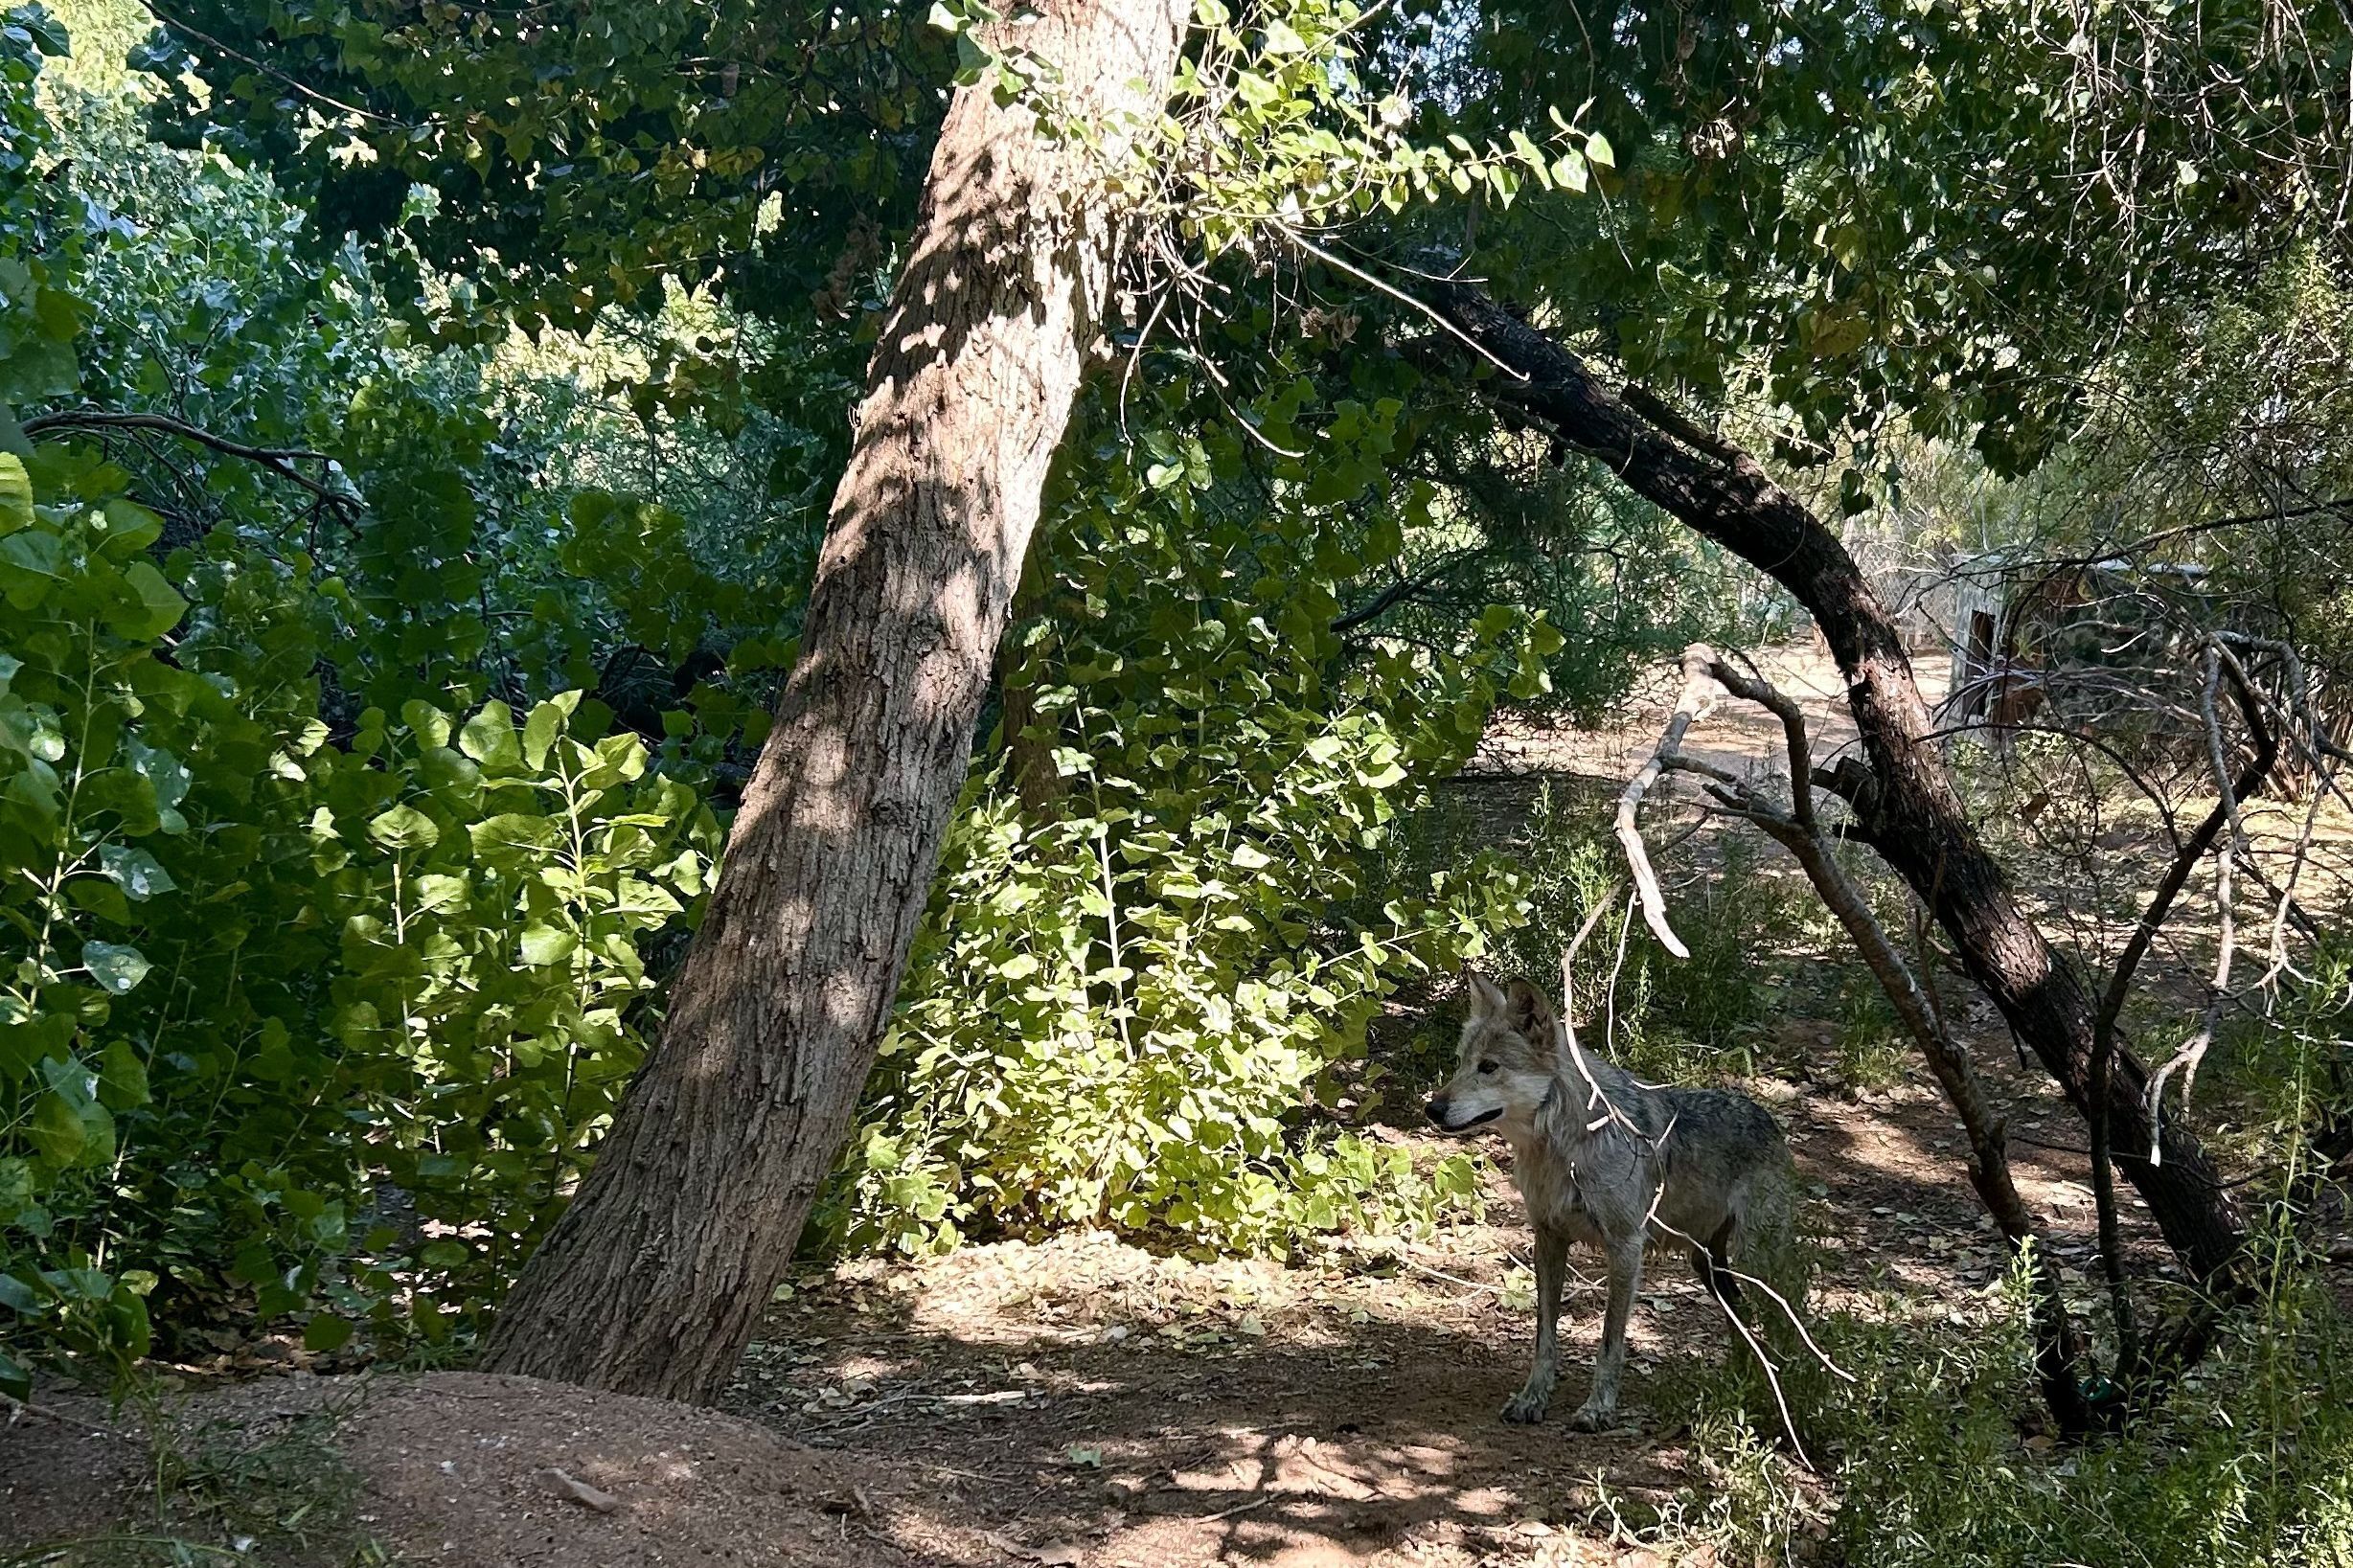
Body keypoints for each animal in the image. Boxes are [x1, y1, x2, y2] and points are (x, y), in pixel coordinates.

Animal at [1411, 973, 1797, 1429]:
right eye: (1459, 1063)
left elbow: (1610, 1341)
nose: (1432, 1108)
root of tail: (1766, 1116)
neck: (1565, 1149)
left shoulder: (1626, 1247)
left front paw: (1598, 1408)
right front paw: (1532, 1398)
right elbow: (1545, 1337)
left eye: (1488, 1067)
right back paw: (1741, 1380)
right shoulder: (1548, 1240)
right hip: (1707, 1265)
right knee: (1742, 1316)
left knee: (1786, 1314)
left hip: (1757, 1261)